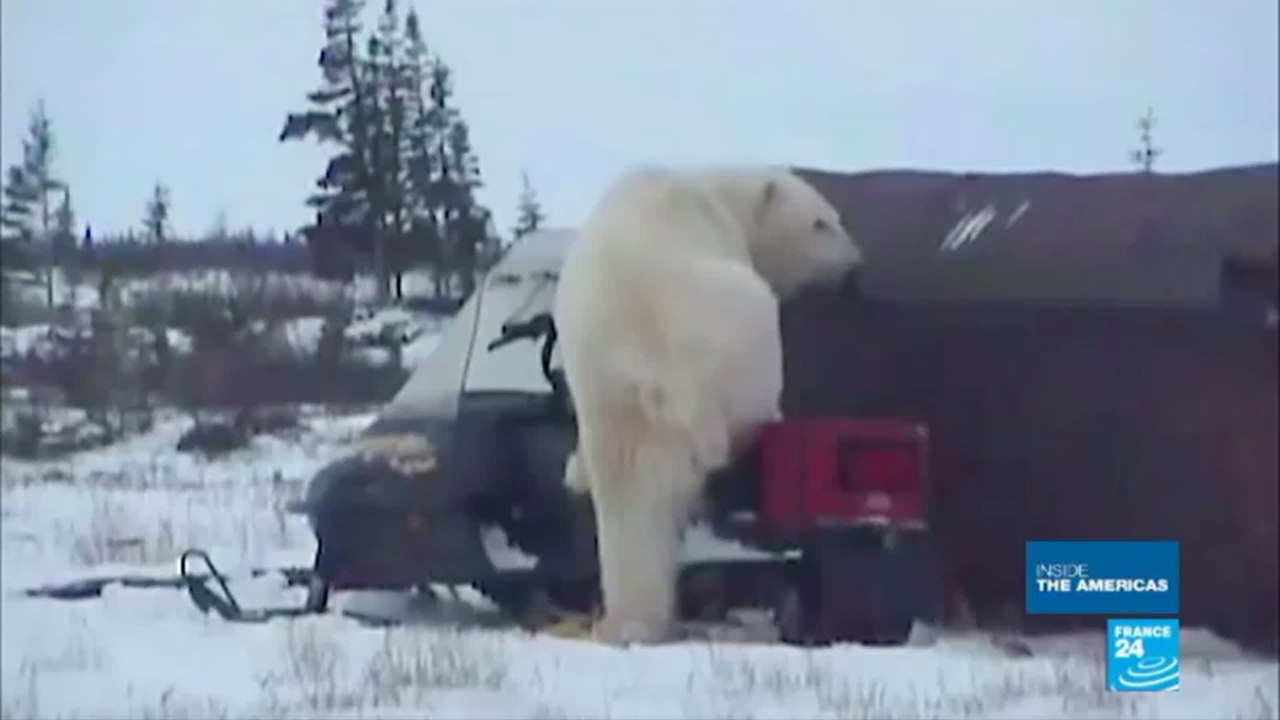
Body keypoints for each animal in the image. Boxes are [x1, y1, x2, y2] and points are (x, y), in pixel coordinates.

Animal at [552, 164, 863, 645]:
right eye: (820, 223)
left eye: (833, 219)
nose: (855, 267)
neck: (716, 190)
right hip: (734, 323)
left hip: (604, 393)